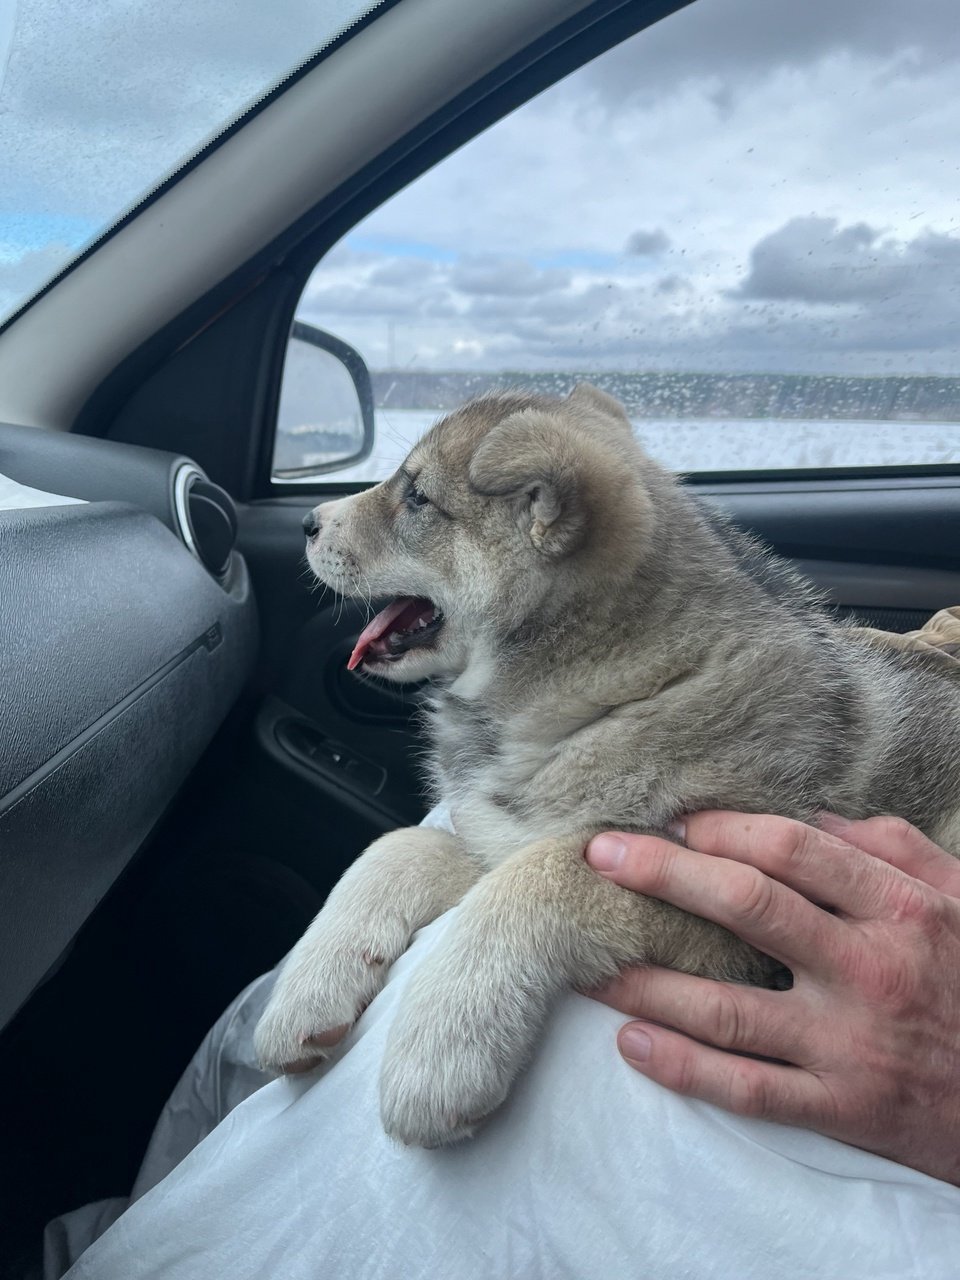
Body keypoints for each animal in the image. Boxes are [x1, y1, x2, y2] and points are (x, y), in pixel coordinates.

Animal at [254, 383, 960, 1148]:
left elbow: (549, 873)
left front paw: (442, 1043)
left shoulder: (735, 912)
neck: (617, 698)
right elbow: (402, 845)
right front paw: (308, 989)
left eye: (416, 497)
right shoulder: (502, 833)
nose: (308, 523)